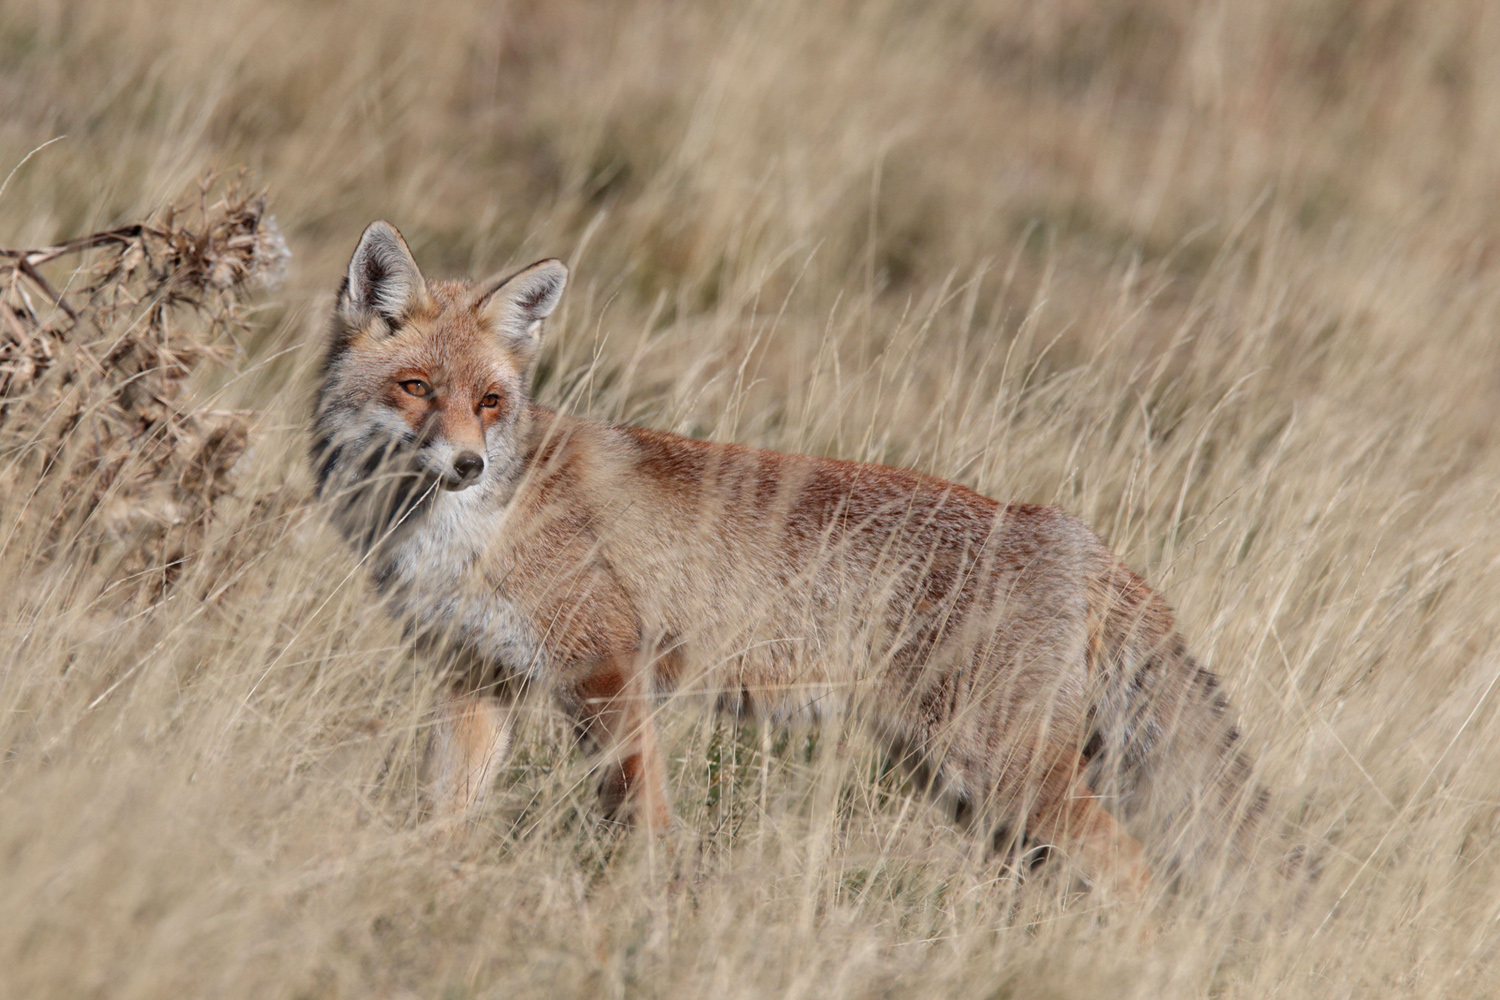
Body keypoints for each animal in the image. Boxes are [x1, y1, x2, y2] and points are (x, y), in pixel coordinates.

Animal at [311, 221, 1264, 897]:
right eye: (416, 389)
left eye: (490, 401)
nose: (468, 465)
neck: (460, 532)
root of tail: (1073, 534)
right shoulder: (475, 677)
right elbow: (445, 812)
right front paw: (430, 885)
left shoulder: (608, 671)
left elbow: (641, 819)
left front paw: (649, 908)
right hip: (968, 789)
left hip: (1000, 771)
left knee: (1134, 874)